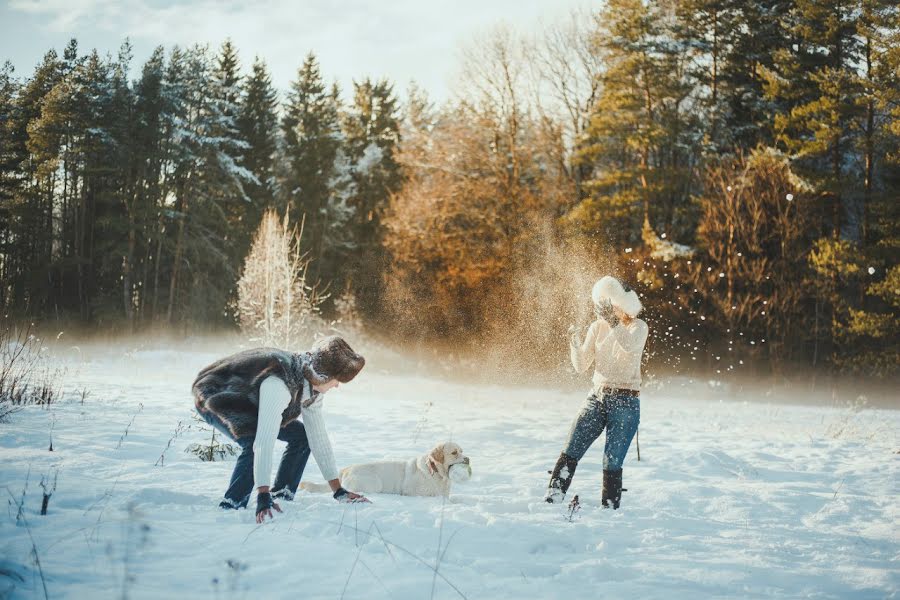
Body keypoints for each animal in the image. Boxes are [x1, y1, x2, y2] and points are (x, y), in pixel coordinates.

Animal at [300, 440, 472, 496]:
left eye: (462, 451)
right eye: (454, 452)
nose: (468, 459)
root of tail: (345, 469)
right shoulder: (413, 492)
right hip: (374, 484)